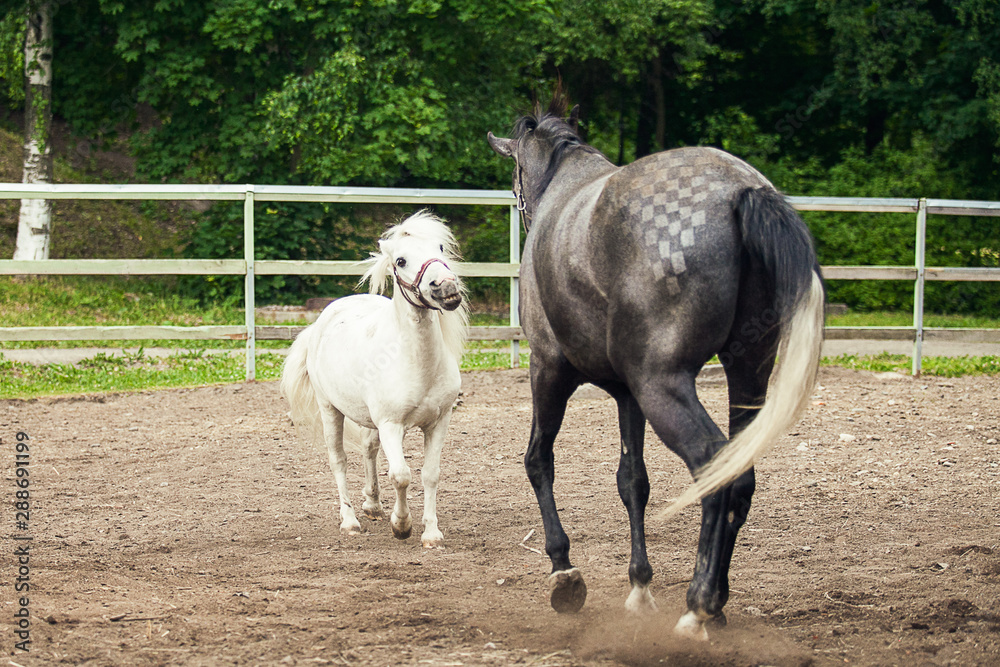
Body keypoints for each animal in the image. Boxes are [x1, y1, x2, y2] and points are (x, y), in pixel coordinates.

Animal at [280, 211, 469, 548]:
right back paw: (350, 520)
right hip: (330, 409)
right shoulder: (391, 425)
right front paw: (402, 525)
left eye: (440, 248)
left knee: (369, 449)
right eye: (401, 261)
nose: (445, 287)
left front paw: (431, 533)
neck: (416, 363)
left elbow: (430, 474)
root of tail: (323, 319)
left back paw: (372, 504)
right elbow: (401, 475)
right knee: (339, 460)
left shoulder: (438, 421)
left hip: (369, 419)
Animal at [487, 97, 824, 639]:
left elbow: (539, 459)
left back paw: (698, 606)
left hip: (661, 386)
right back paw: (717, 603)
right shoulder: (627, 394)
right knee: (740, 474)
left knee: (713, 467)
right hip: (745, 372)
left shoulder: (548, 368)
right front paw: (639, 586)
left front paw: (563, 571)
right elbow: (633, 481)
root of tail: (742, 190)